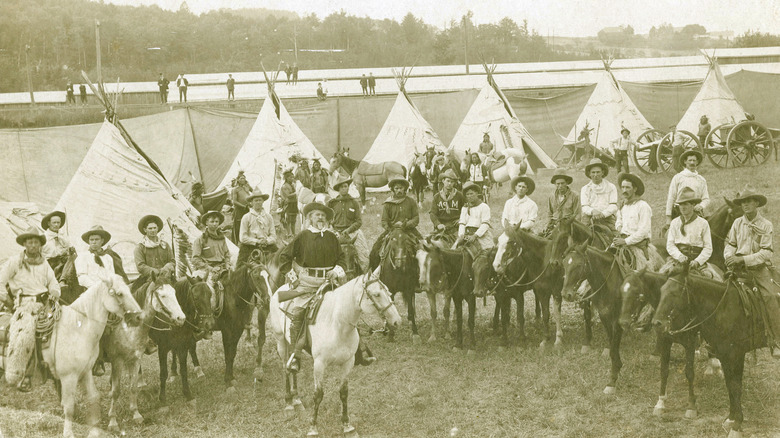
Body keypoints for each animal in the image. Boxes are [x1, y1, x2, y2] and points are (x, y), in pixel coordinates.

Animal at [4, 274, 142, 438]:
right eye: (120, 293)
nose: (139, 317)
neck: (77, 329)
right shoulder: (68, 377)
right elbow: (69, 407)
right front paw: (68, 433)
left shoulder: (86, 372)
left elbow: (93, 397)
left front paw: (95, 430)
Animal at [102, 272, 186, 432]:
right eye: (163, 295)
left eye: (174, 293)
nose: (181, 318)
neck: (128, 328)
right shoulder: (117, 361)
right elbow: (116, 391)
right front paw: (113, 421)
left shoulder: (135, 359)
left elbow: (133, 387)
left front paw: (136, 415)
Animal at [268, 272, 402, 436]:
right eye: (376, 294)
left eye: (388, 292)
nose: (397, 321)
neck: (337, 324)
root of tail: (280, 289)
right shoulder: (319, 364)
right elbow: (318, 394)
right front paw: (313, 427)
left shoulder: (347, 363)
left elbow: (343, 392)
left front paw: (347, 426)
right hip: (280, 341)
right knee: (285, 369)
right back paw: (288, 402)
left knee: (292, 368)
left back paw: (297, 400)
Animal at [620, 268, 696, 420]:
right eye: (622, 291)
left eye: (637, 293)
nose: (623, 322)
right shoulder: (665, 342)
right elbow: (664, 371)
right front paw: (660, 402)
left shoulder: (690, 345)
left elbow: (689, 373)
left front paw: (691, 406)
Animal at [652, 266, 768, 438]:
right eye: (661, 291)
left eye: (675, 293)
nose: (656, 323)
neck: (725, 308)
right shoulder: (725, 355)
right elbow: (730, 385)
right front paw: (731, 419)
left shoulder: (735, 354)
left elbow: (735, 387)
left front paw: (736, 425)